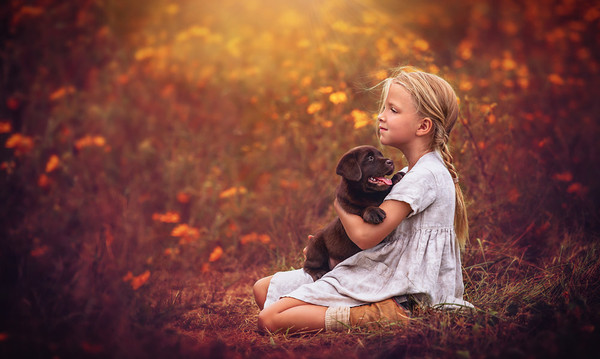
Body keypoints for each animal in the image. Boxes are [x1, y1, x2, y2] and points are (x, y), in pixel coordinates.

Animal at [304, 146, 404, 282]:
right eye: (370, 157)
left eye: (381, 155)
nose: (391, 162)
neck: (370, 195)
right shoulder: (347, 205)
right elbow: (360, 209)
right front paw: (373, 211)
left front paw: (397, 176)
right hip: (316, 244)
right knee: (308, 264)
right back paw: (318, 272)